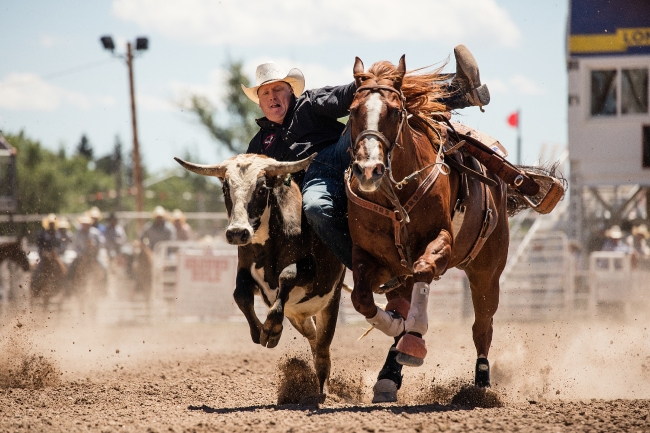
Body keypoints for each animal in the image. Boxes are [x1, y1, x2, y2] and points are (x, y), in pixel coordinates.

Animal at [344, 55, 512, 400]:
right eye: (353, 110)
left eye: (395, 111)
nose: (368, 170)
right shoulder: (369, 255)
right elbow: (361, 298)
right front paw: (396, 325)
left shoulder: (440, 242)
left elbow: (424, 271)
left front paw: (414, 335)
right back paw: (388, 376)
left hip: (487, 271)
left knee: (482, 326)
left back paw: (481, 383)